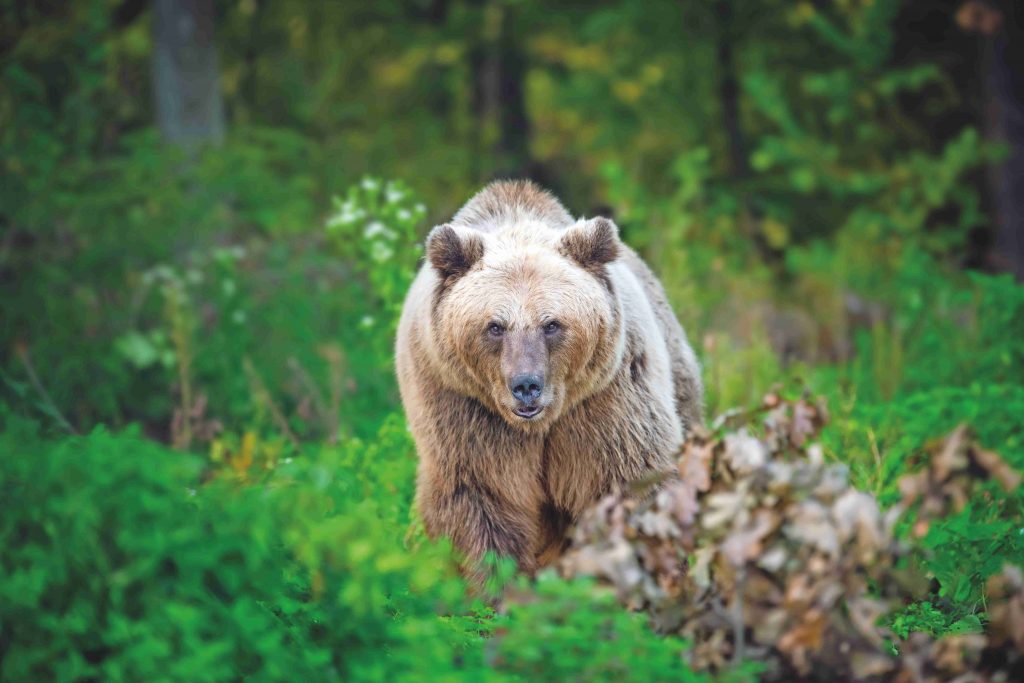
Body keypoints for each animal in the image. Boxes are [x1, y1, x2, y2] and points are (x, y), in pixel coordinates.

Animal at [395, 181, 700, 577]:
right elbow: (482, 507)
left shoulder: (605, 404)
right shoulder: (463, 413)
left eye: (552, 324)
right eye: (495, 326)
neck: (539, 426)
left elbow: (631, 483)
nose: (526, 386)